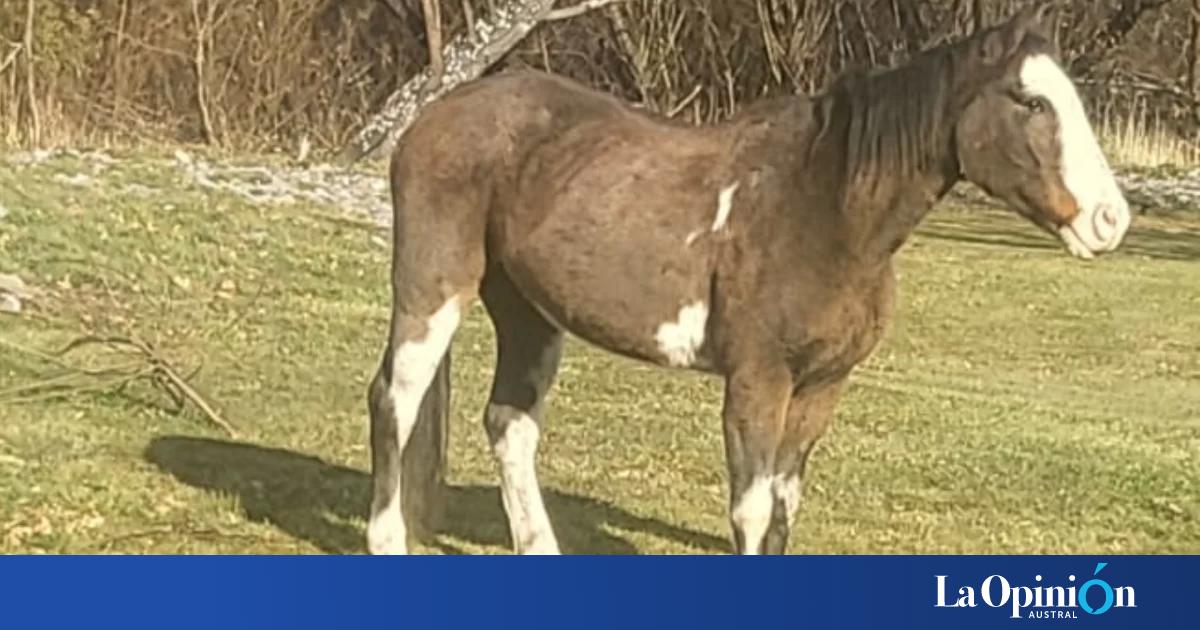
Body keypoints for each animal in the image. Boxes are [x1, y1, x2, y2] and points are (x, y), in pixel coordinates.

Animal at [364, 4, 1131, 555]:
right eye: (1030, 102)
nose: (1109, 219)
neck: (822, 209)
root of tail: (432, 116)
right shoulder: (758, 379)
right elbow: (752, 509)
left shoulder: (823, 385)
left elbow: (785, 507)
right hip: (434, 287)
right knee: (395, 399)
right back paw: (387, 540)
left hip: (530, 312)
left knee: (510, 424)